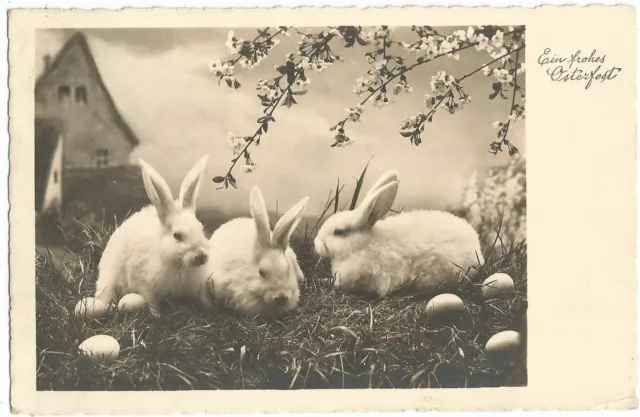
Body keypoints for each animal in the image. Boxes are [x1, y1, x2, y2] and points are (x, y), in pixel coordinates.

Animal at [94, 154, 212, 314]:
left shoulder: (198, 285)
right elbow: (152, 302)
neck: (178, 264)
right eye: (177, 235)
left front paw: (211, 307)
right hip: (109, 281)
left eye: (201, 228)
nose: (201, 255)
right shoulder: (145, 285)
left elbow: (203, 297)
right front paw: (157, 315)